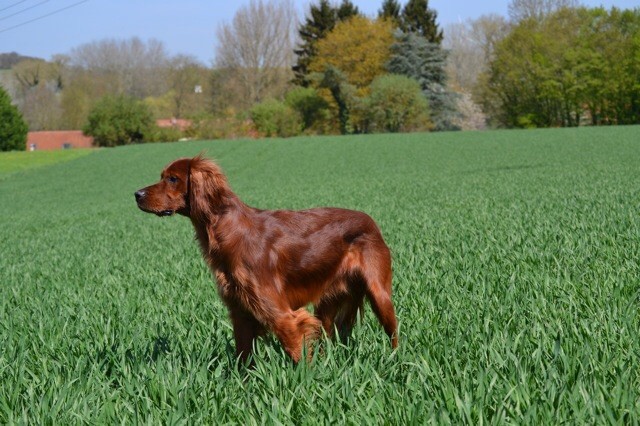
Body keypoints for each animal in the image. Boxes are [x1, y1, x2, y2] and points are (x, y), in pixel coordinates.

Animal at [135, 155, 398, 362]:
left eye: (172, 179)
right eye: (162, 176)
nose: (136, 194)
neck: (229, 231)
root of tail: (370, 220)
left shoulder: (284, 316)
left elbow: (298, 356)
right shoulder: (241, 313)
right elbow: (243, 360)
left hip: (379, 294)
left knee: (393, 333)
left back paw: (396, 364)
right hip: (326, 304)